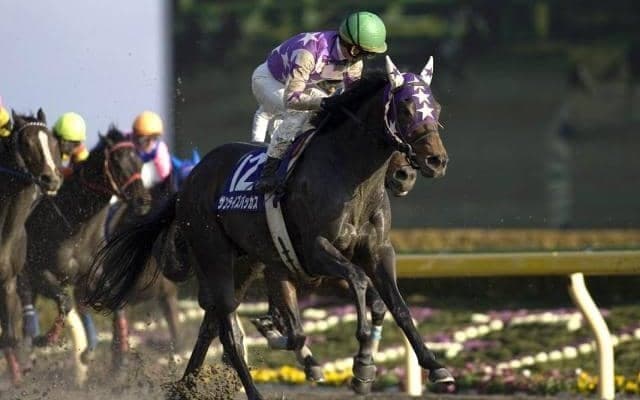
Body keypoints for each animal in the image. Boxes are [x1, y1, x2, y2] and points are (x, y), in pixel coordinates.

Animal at [18, 126, 150, 373]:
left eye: (139, 162)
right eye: (117, 162)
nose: (144, 201)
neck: (74, 226)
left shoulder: (89, 276)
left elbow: (112, 303)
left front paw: (119, 356)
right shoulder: (40, 273)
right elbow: (65, 301)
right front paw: (47, 338)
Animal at [86, 56, 452, 400]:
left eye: (436, 107)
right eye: (405, 108)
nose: (433, 162)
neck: (350, 175)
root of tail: (188, 184)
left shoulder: (376, 250)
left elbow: (397, 307)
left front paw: (431, 368)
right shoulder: (315, 250)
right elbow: (359, 281)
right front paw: (360, 358)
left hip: (245, 263)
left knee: (212, 322)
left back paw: (186, 386)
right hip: (214, 254)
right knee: (228, 328)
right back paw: (251, 389)